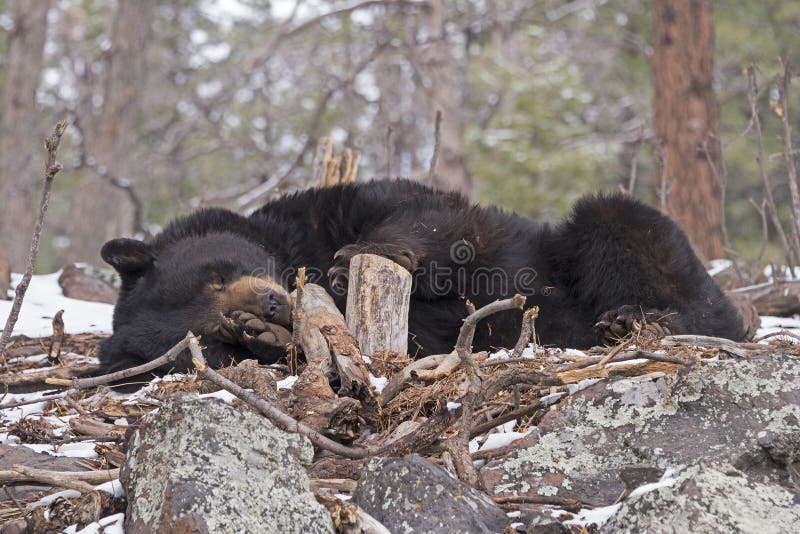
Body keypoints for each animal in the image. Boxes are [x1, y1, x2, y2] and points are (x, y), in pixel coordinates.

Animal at [98, 179, 746, 375]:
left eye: (217, 272)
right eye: (219, 335)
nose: (272, 307)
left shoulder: (325, 209)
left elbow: (431, 214)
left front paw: (355, 258)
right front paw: (273, 339)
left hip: (598, 240)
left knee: (616, 225)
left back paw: (635, 317)